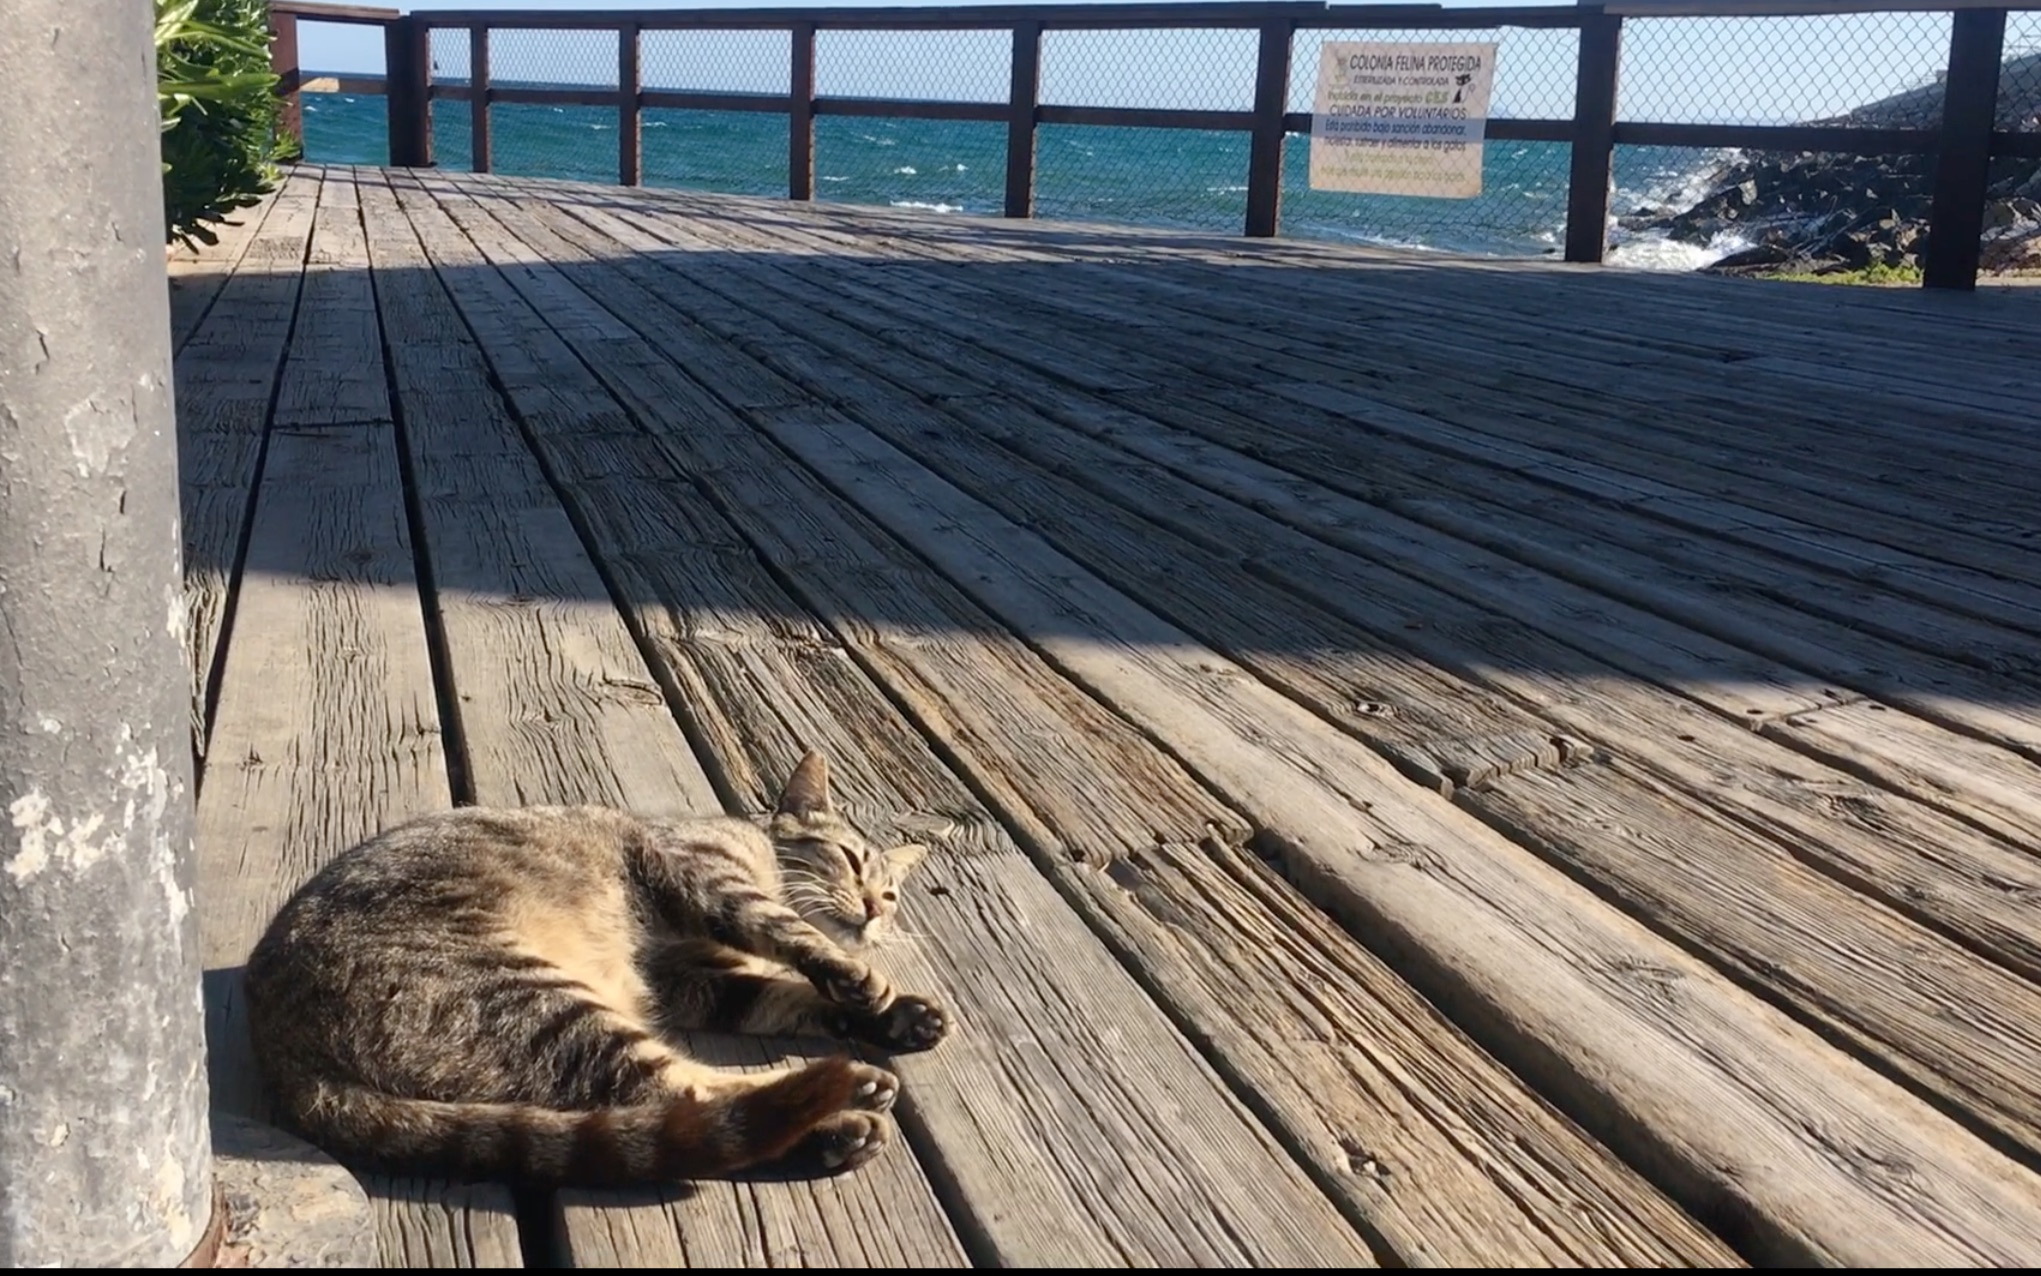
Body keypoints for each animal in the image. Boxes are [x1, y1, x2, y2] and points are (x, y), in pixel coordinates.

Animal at [244, 747, 947, 1184]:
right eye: (851, 862)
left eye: (891, 893)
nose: (874, 910)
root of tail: (282, 1058)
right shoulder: (708, 882)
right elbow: (793, 936)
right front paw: (861, 981)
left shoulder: (686, 979)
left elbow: (780, 995)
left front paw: (897, 1015)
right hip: (538, 1003)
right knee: (683, 1098)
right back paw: (845, 1105)